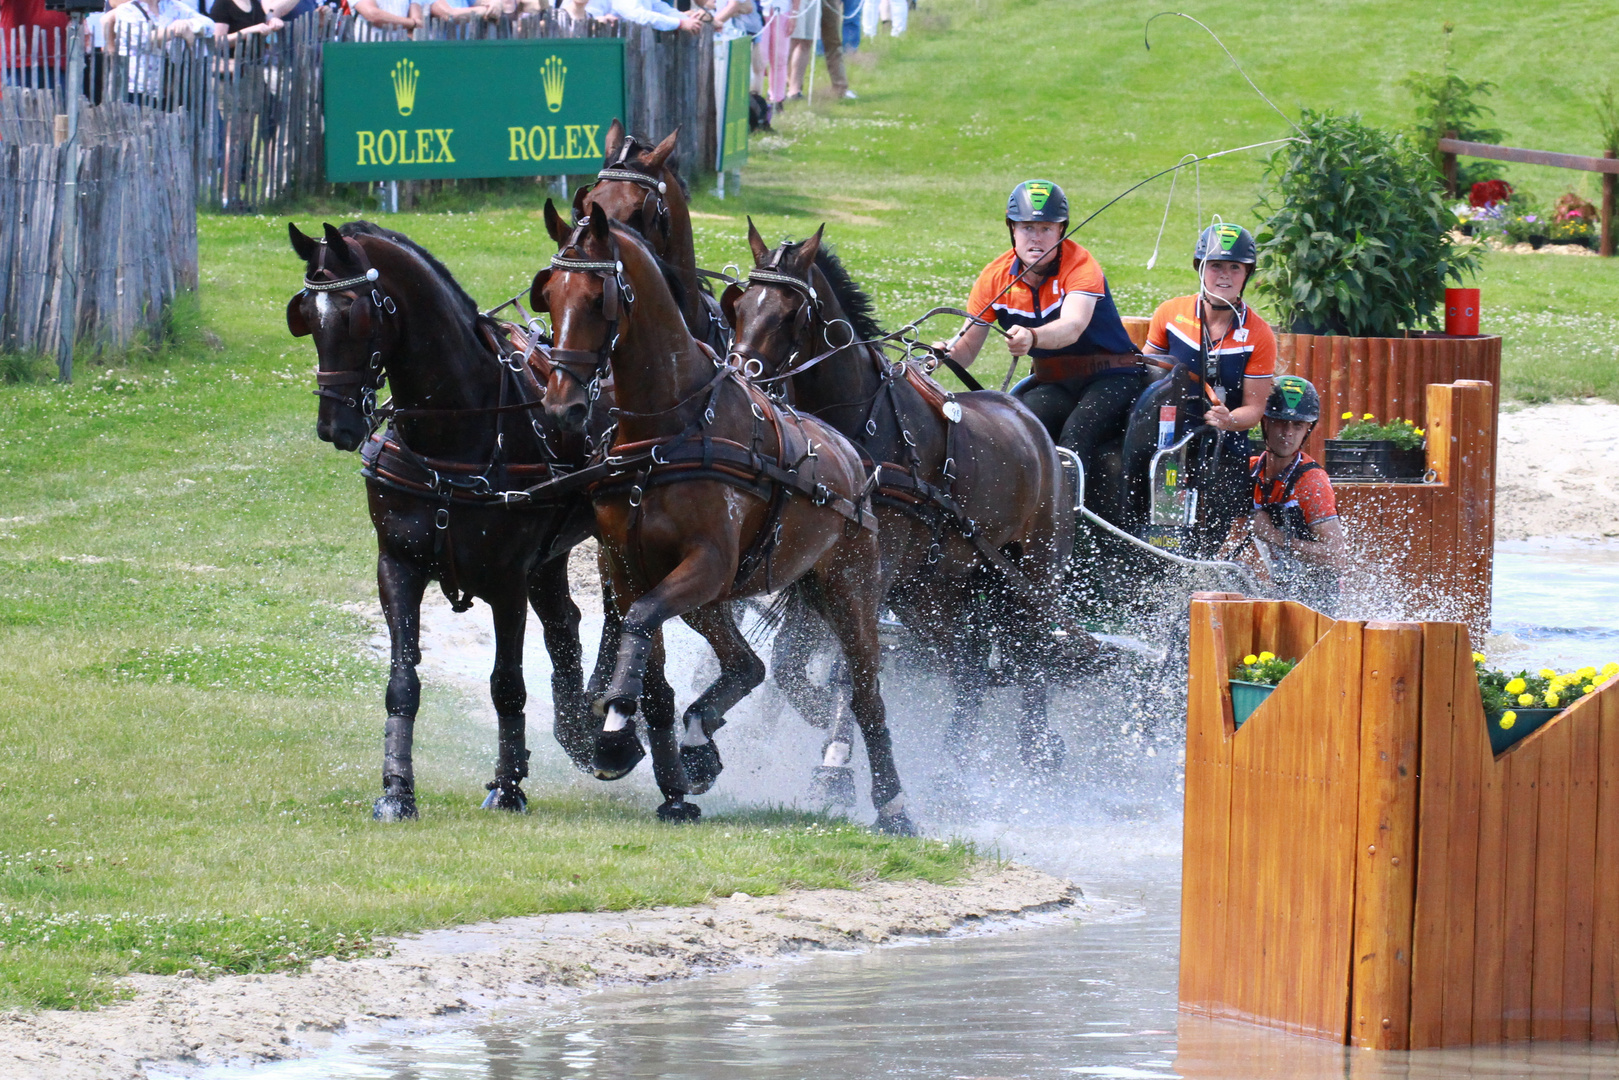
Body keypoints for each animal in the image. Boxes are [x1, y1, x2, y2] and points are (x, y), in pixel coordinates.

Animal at [527, 210, 913, 835]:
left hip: (849, 589)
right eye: (551, 295)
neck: (669, 429)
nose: (562, 408)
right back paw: (698, 743)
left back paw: (891, 803)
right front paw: (668, 784)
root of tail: (855, 459)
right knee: (747, 666)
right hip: (719, 599)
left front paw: (614, 737)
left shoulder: (705, 563)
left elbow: (638, 624)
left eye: (595, 298)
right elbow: (649, 668)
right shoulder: (627, 567)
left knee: (864, 694)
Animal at [725, 226, 1094, 786]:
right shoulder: (819, 568)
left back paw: (1034, 752)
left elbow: (849, 668)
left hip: (1032, 574)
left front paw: (836, 763)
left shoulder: (869, 572)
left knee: (1033, 657)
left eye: (791, 314)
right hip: (932, 590)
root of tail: (1038, 434)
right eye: (741, 305)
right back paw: (954, 766)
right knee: (968, 664)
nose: (741, 377)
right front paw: (813, 724)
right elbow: (793, 666)